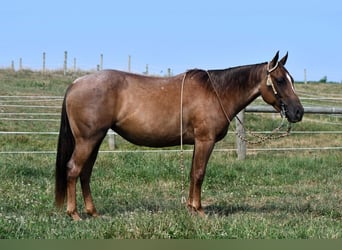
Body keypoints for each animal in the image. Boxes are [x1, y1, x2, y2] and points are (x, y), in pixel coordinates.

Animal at [56, 51, 304, 220]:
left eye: (291, 79)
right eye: (280, 80)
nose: (298, 112)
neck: (216, 92)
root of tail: (75, 84)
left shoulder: (198, 143)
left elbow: (193, 173)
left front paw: (191, 207)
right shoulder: (205, 141)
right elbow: (199, 173)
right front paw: (199, 210)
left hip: (94, 141)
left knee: (85, 173)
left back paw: (93, 212)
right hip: (87, 141)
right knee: (73, 170)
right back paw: (74, 214)